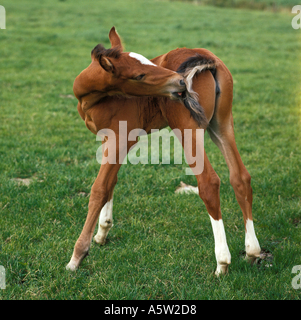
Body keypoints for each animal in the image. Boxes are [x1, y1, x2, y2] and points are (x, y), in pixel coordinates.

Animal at [66, 26, 260, 276]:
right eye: (139, 75)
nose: (180, 81)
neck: (91, 97)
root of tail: (207, 60)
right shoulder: (109, 139)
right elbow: (111, 182)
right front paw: (102, 233)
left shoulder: (120, 139)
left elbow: (99, 189)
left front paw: (77, 256)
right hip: (222, 125)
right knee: (240, 177)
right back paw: (253, 251)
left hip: (187, 128)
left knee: (208, 183)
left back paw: (222, 262)